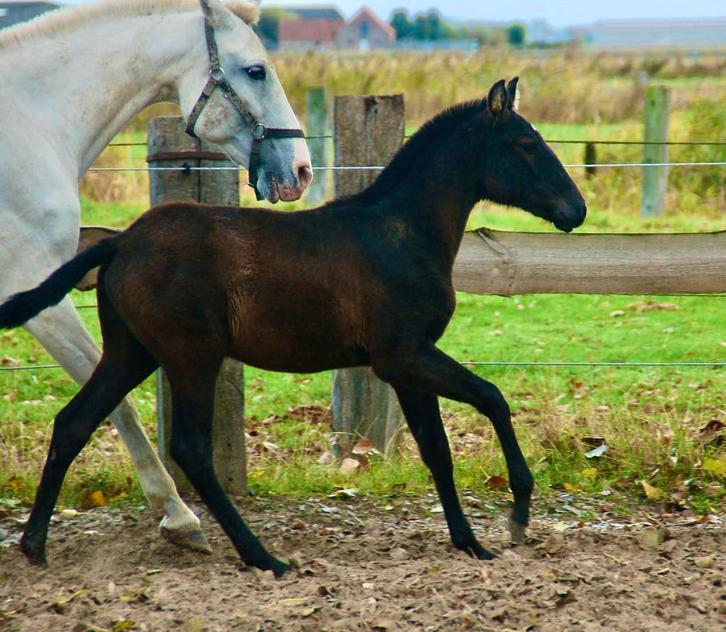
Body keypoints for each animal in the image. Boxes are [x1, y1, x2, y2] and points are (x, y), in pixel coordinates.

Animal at [0, 0, 311, 554]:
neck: (32, 125)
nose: (301, 170)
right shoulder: (40, 299)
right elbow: (117, 404)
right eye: (256, 70)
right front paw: (179, 515)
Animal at [0, 78, 586, 577]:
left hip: (131, 352)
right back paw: (264, 557)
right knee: (189, 447)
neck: (401, 234)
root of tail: (121, 242)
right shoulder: (404, 355)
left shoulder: (406, 367)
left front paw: (471, 543)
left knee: (73, 423)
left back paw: (34, 544)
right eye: (525, 143)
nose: (576, 209)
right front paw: (518, 514)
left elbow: (437, 450)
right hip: (192, 356)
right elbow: (492, 399)